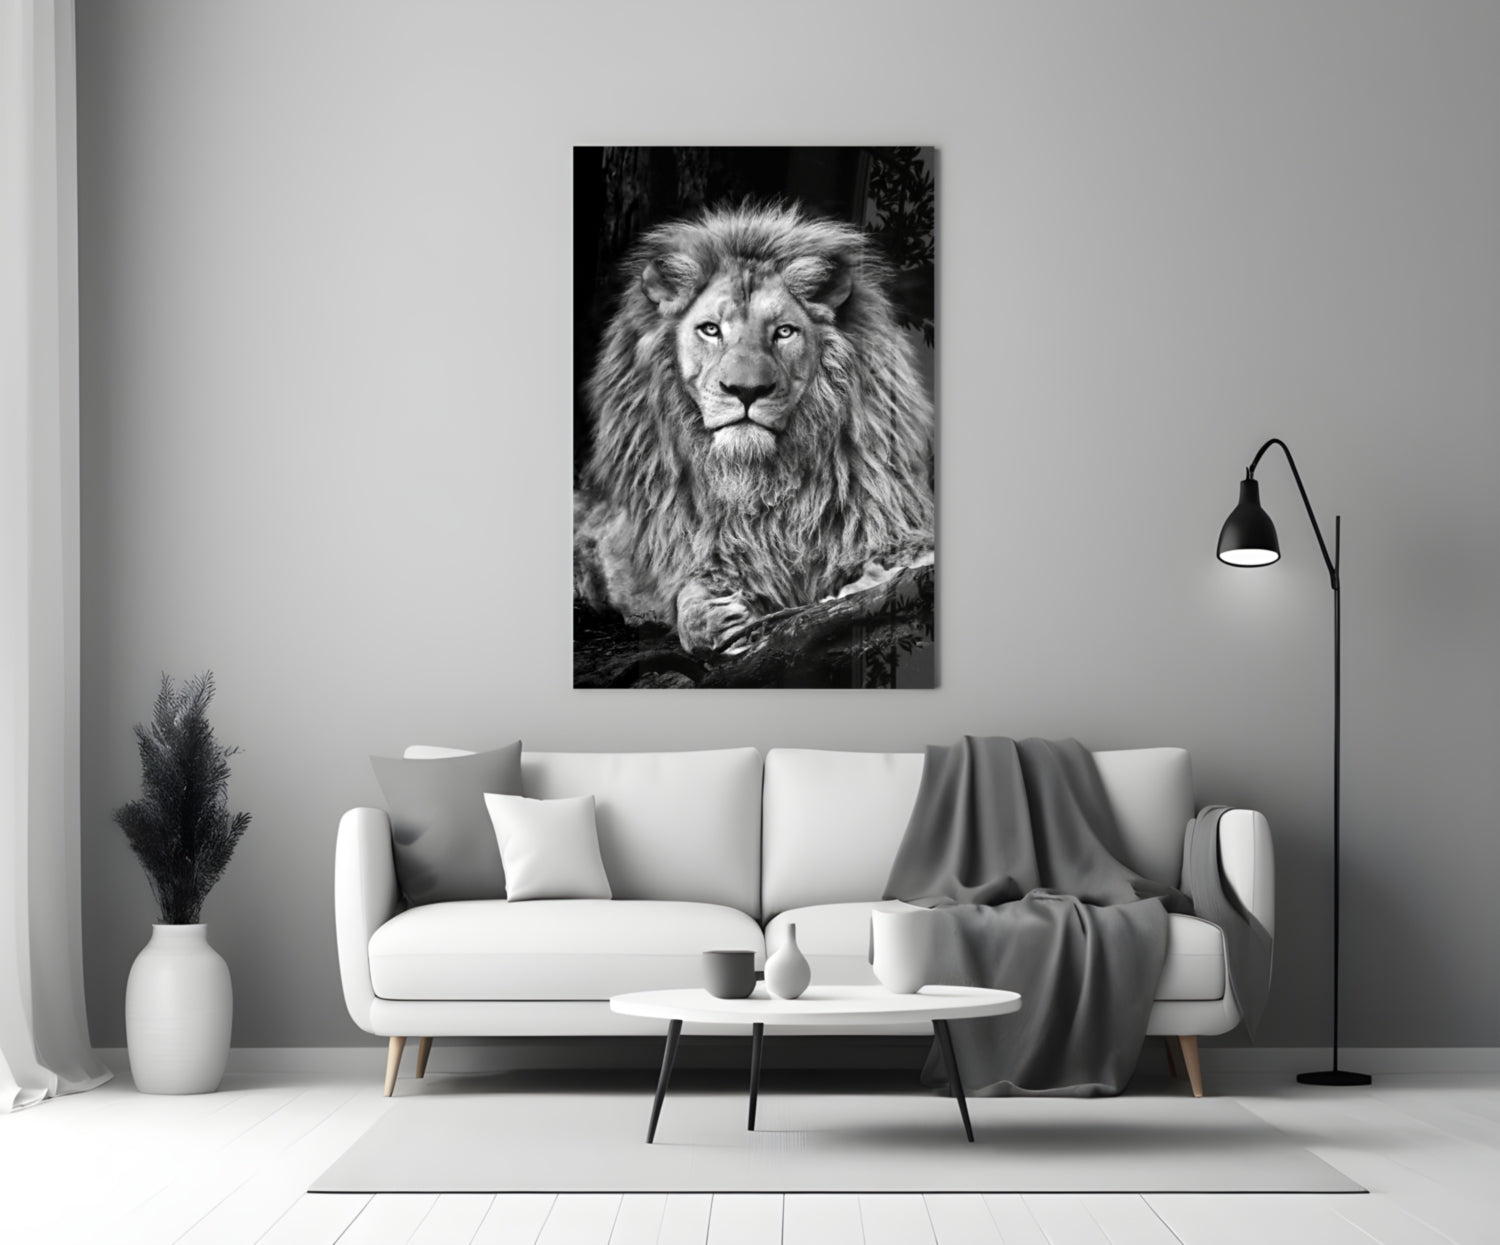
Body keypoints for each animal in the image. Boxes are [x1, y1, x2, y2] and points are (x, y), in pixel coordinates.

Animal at [574, 202, 934, 658]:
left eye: (784, 332)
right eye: (711, 329)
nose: (746, 390)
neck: (760, 483)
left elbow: (904, 564)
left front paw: (861, 584)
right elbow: (689, 602)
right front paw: (718, 619)